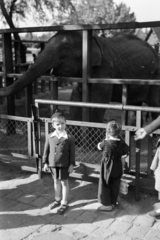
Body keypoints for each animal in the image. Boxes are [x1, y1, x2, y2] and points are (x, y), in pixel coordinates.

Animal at [0, 30, 159, 123]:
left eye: (65, 49)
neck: (90, 41)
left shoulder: (104, 71)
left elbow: (97, 102)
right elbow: (75, 98)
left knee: (154, 104)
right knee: (134, 106)